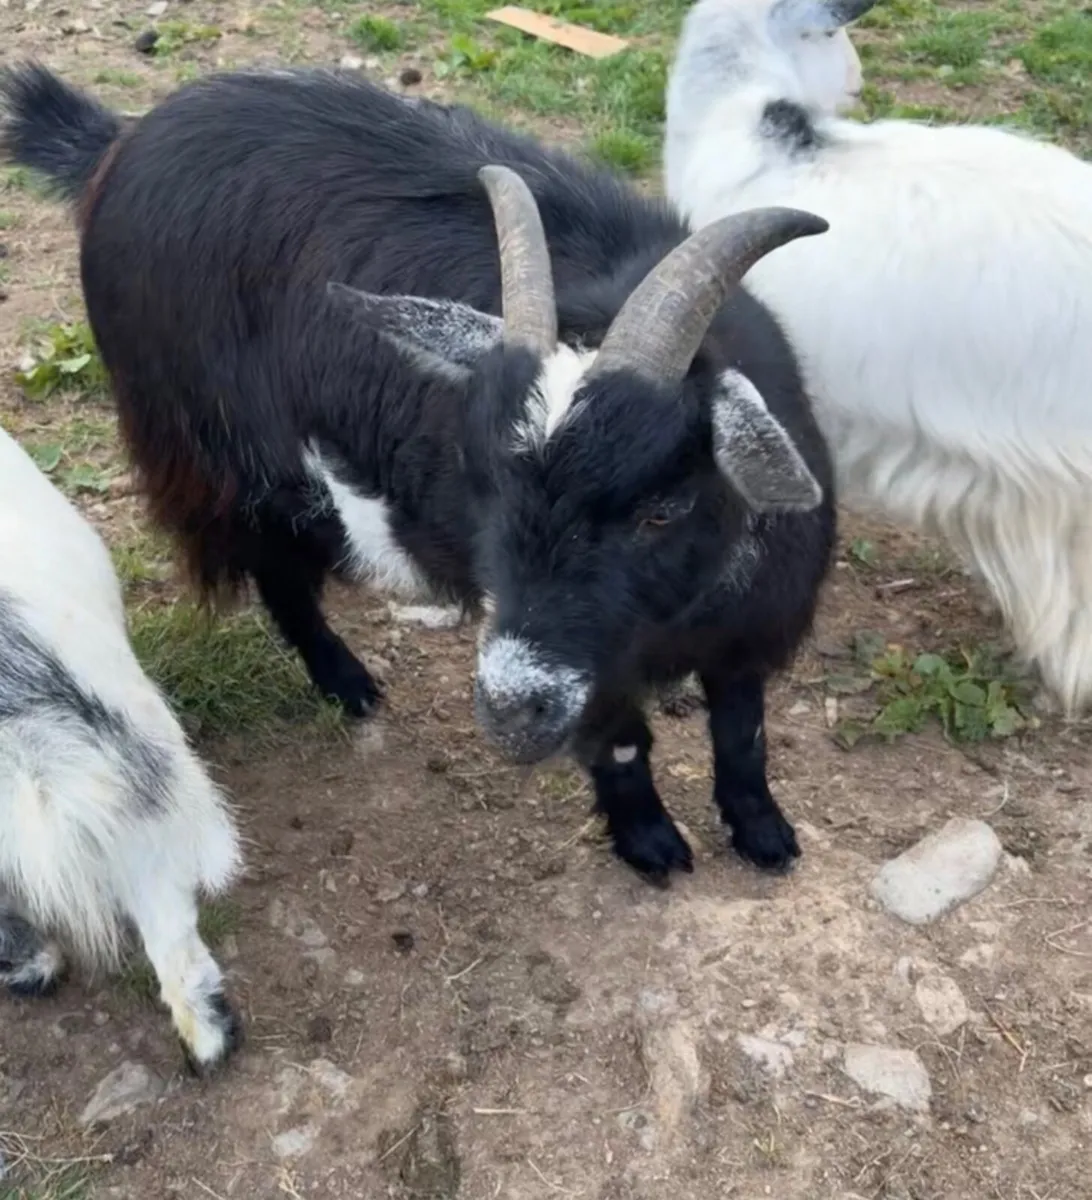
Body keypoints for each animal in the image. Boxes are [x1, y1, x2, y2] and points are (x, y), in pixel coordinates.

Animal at [0, 63, 837, 885]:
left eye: (661, 509)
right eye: (487, 491)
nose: (509, 709)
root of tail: (127, 137)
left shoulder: (750, 628)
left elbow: (743, 734)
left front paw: (764, 832)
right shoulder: (597, 671)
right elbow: (624, 741)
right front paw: (650, 841)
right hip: (215, 454)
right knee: (278, 570)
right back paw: (347, 682)